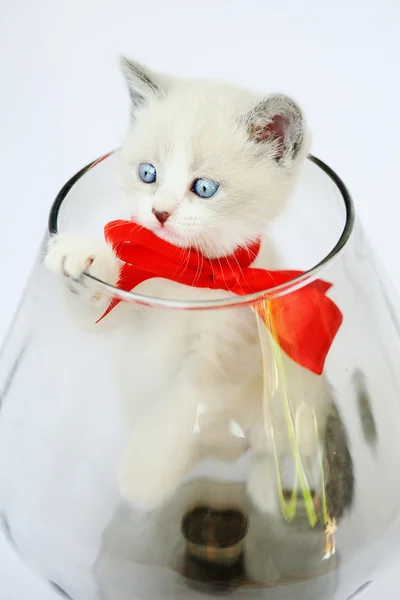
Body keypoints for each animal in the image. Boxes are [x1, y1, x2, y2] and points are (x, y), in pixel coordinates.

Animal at [46, 58, 332, 512]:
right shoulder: (133, 303)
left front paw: (142, 478)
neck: (184, 277)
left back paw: (271, 489)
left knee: (275, 447)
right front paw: (80, 257)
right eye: (148, 174)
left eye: (204, 188)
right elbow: (98, 311)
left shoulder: (228, 344)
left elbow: (181, 405)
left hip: (292, 396)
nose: (160, 211)